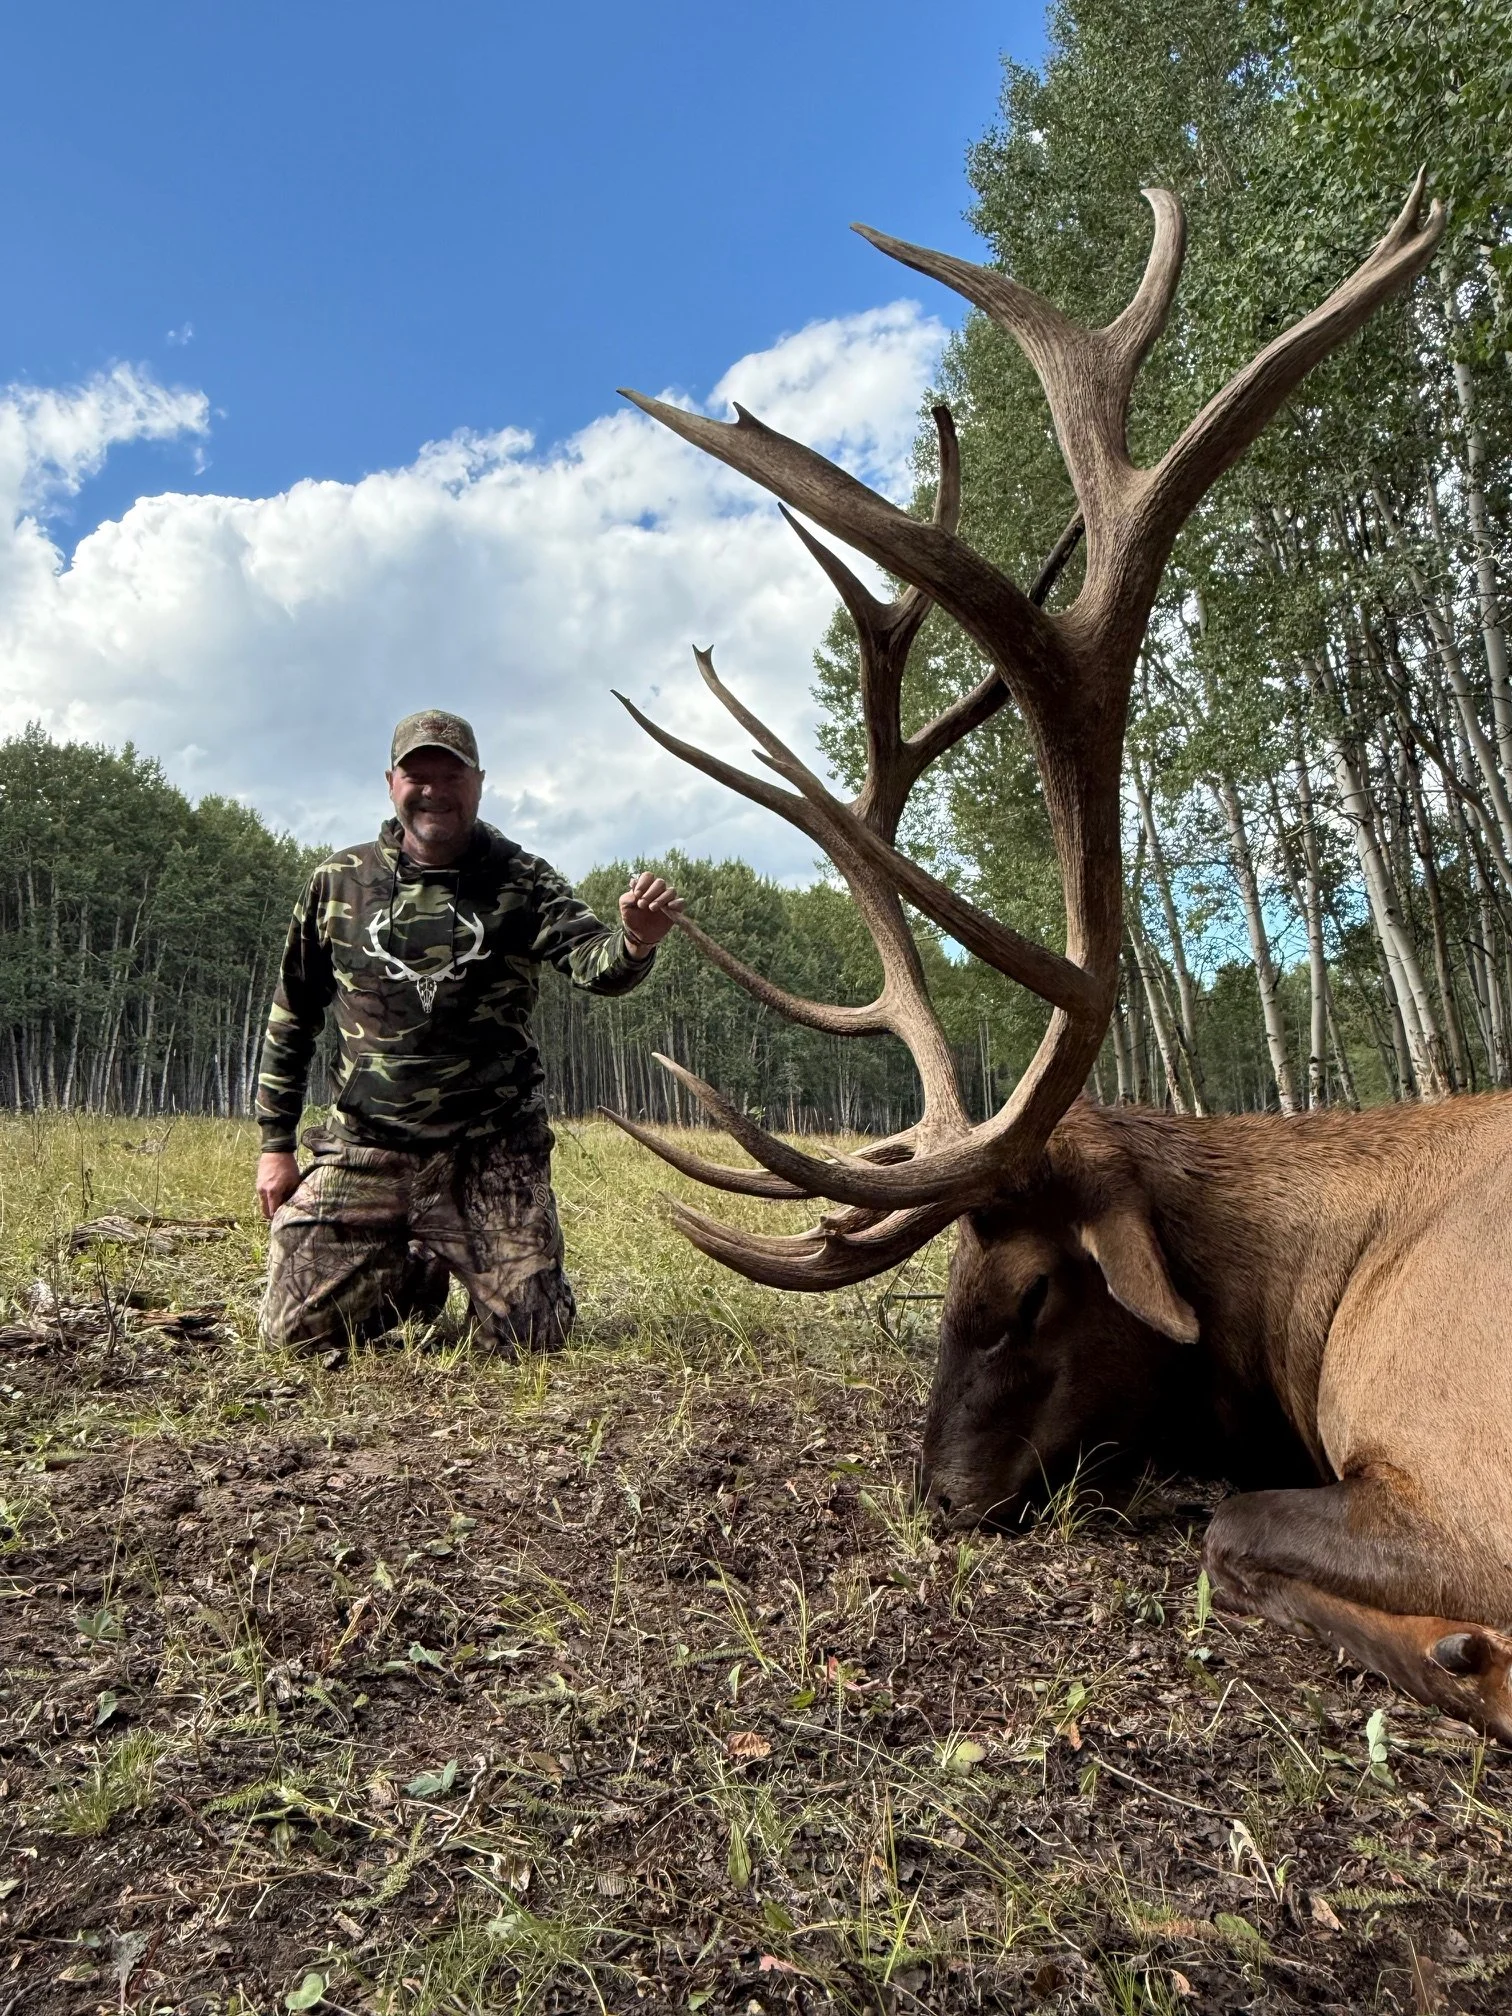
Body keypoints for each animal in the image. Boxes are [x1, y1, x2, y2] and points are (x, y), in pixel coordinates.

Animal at [603, 178, 1512, 1745]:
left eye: (1032, 1294)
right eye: (947, 1296)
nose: (940, 1501)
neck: (1312, 1316)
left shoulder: (1463, 1474)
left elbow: (1234, 1525)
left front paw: (1454, 1648)